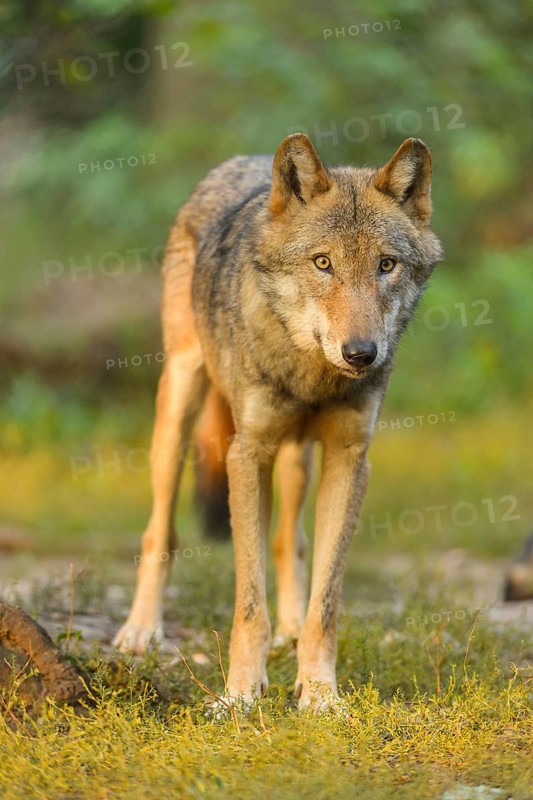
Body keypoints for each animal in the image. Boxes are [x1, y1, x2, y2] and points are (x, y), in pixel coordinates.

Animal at [114, 133, 443, 710]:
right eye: (322, 263)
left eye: (386, 265)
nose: (362, 354)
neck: (312, 374)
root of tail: (237, 161)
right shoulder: (248, 455)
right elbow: (248, 602)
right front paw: (241, 695)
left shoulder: (349, 460)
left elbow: (326, 602)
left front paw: (320, 693)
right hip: (177, 411)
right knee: (160, 531)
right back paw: (140, 630)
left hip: (299, 459)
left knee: (291, 539)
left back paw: (289, 629)